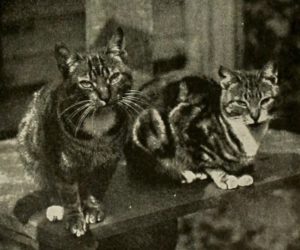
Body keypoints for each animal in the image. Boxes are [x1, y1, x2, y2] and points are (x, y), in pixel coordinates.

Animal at [16, 27, 138, 236]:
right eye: (86, 83)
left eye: (114, 77)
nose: (105, 96)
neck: (98, 123)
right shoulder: (64, 164)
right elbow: (69, 194)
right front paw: (75, 219)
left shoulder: (107, 162)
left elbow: (96, 188)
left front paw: (93, 208)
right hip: (32, 154)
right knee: (51, 190)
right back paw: (56, 208)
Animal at [124, 62, 278, 189]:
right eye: (241, 103)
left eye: (265, 100)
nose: (255, 116)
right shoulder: (183, 122)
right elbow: (208, 163)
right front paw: (225, 177)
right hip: (150, 126)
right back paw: (186, 173)